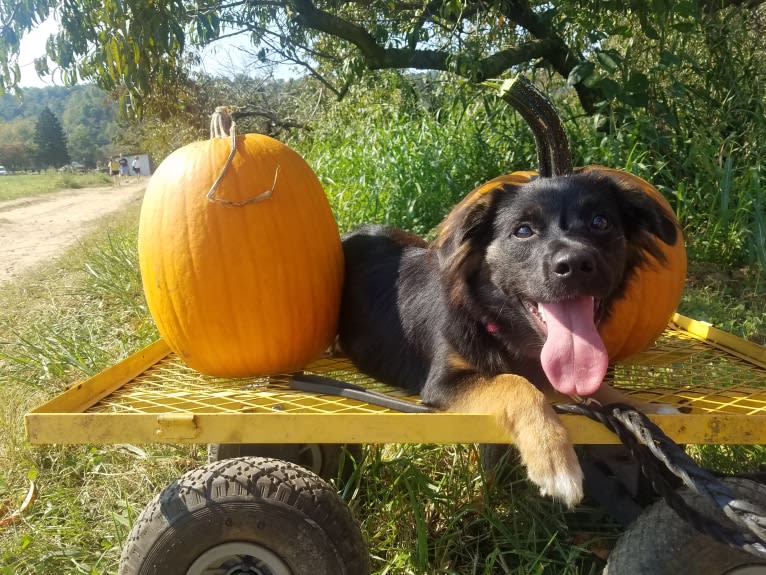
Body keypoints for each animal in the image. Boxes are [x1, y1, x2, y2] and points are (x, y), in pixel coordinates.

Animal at [340, 171, 680, 508]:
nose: (575, 265)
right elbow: (514, 384)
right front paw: (553, 460)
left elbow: (596, 387)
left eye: (600, 222)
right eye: (523, 231)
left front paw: (646, 408)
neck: (499, 325)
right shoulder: (443, 382)